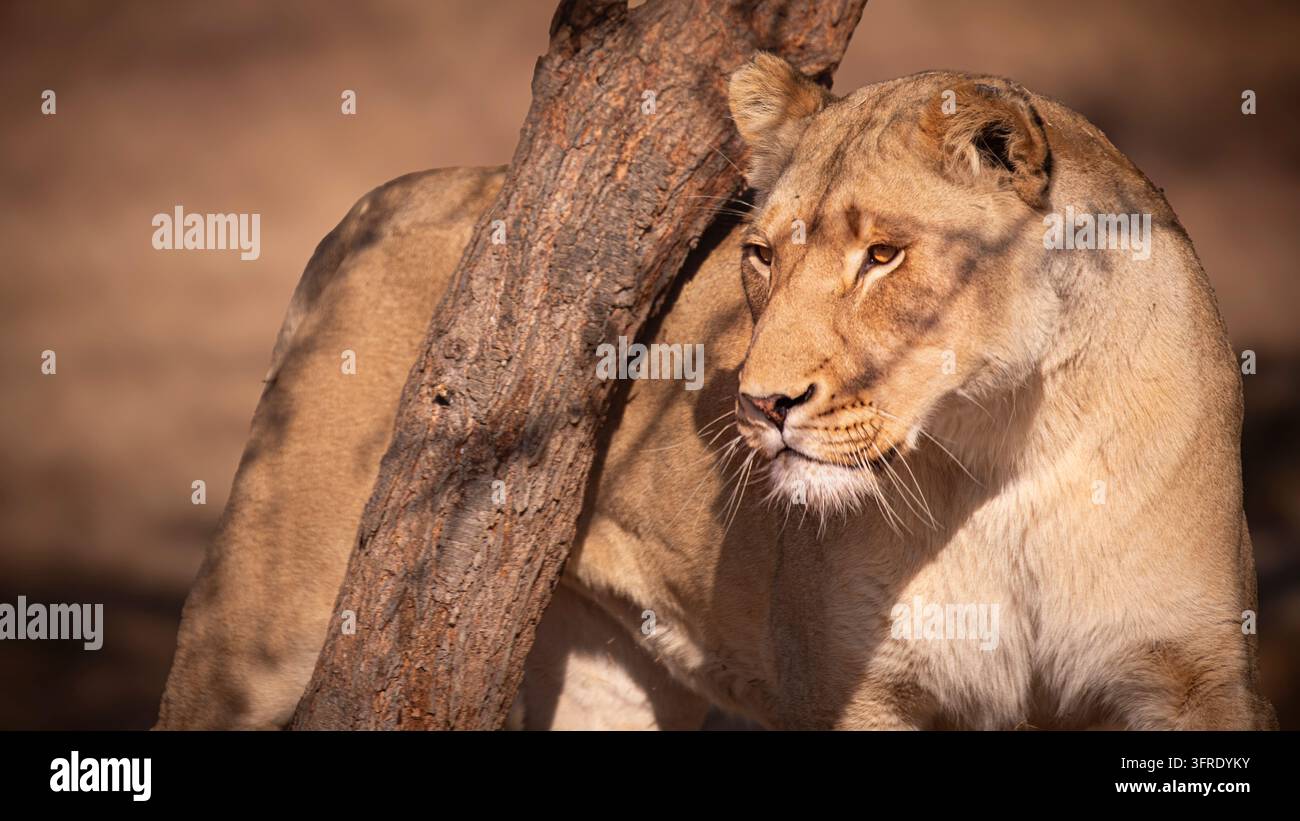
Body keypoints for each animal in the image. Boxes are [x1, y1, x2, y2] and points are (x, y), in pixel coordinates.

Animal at [157, 55, 1275, 730]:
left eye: (883, 254)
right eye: (760, 255)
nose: (761, 403)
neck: (1010, 450)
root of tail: (401, 191)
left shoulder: (1193, 676)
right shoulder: (861, 686)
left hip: (606, 672)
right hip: (266, 624)